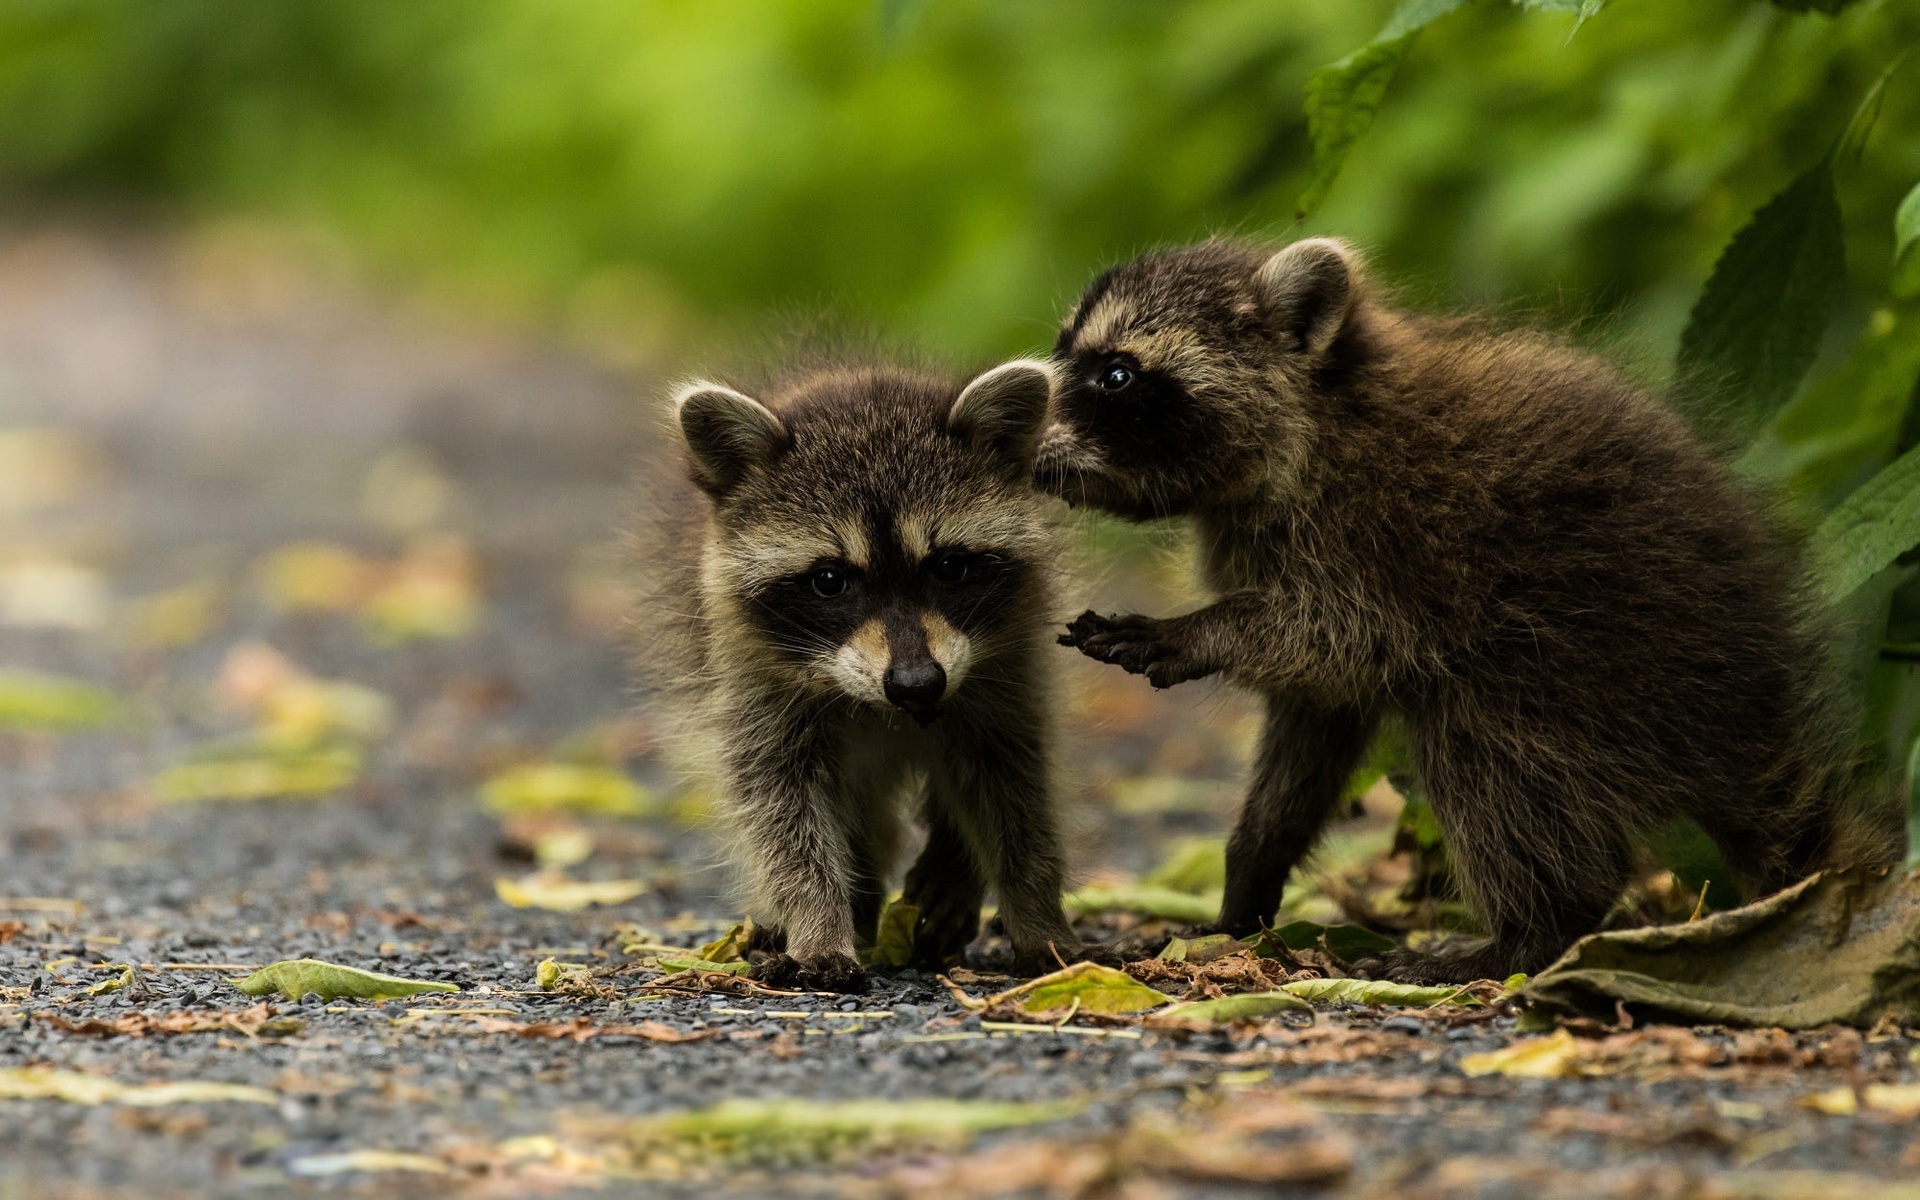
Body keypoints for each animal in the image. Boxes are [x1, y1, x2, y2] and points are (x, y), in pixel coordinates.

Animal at [629, 355, 1082, 990]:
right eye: (829, 580)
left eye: (951, 567)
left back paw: (951, 869)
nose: (917, 684)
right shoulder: (754, 684)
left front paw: (1039, 917)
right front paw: (817, 922)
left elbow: (1014, 786)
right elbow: (782, 807)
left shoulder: (1006, 672)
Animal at [1036, 236, 1889, 983]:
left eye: (1116, 374)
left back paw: (1533, 930)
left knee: (1485, 753)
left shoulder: (1383, 533)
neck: (1313, 416)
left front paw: (1195, 633)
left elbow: (1341, 639)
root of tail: (1753, 707)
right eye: (1065, 348)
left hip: (1595, 662)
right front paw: (1249, 874)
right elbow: (1313, 717)